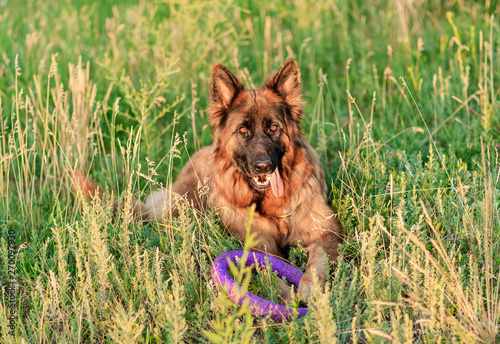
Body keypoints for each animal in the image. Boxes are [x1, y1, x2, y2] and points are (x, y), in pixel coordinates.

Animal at [73, 59, 344, 300]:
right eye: (243, 130)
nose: (263, 166)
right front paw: (288, 295)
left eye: (273, 128)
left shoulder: (326, 232)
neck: (270, 205)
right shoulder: (257, 247)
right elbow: (268, 272)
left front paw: (311, 289)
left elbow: (318, 261)